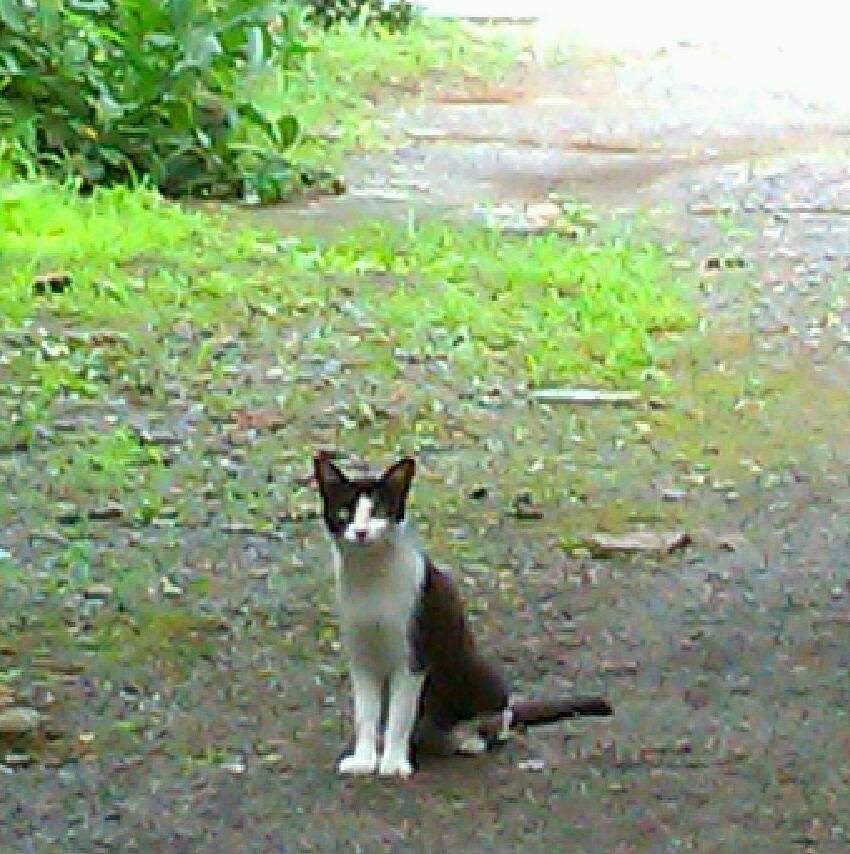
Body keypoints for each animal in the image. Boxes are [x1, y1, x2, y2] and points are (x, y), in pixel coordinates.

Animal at [314, 453, 613, 778]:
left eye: (379, 511)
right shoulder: (361, 655)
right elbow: (365, 714)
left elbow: (400, 715)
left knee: (501, 716)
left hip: (474, 666)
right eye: (345, 512)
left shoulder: (415, 654)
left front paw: (392, 763)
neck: (370, 580)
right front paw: (364, 759)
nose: (361, 532)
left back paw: (471, 738)